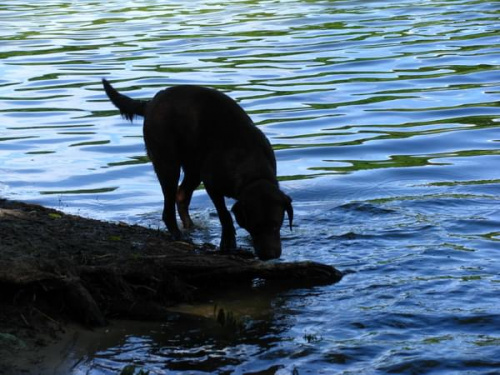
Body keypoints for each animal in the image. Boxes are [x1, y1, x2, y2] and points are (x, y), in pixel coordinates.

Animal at [102, 79, 292, 262]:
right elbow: (225, 215)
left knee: (181, 195)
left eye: (276, 225)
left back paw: (191, 227)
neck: (251, 169)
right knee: (168, 208)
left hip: (194, 168)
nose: (271, 256)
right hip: (168, 163)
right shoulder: (211, 184)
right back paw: (177, 235)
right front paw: (228, 242)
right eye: (256, 226)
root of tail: (151, 103)